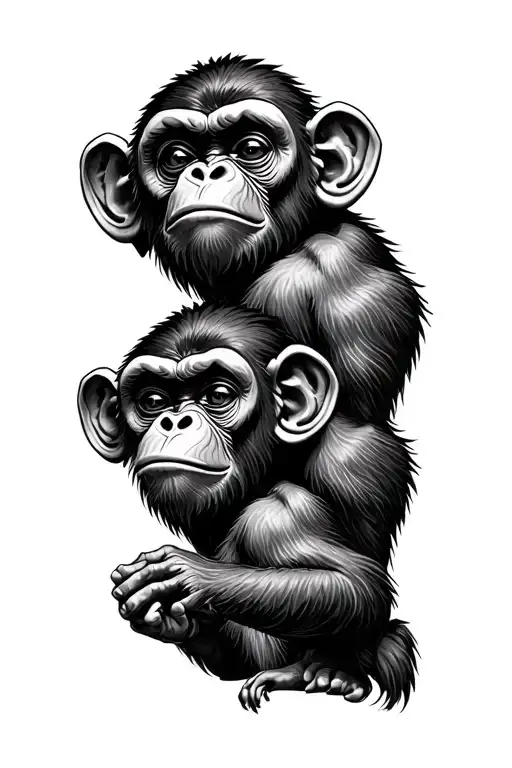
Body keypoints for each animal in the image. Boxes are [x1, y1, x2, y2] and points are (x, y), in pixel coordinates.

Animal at [78, 304, 418, 711]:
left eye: (218, 394)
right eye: (153, 401)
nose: (175, 420)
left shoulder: (280, 518)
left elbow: (354, 589)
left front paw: (185, 573)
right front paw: (173, 617)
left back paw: (325, 673)